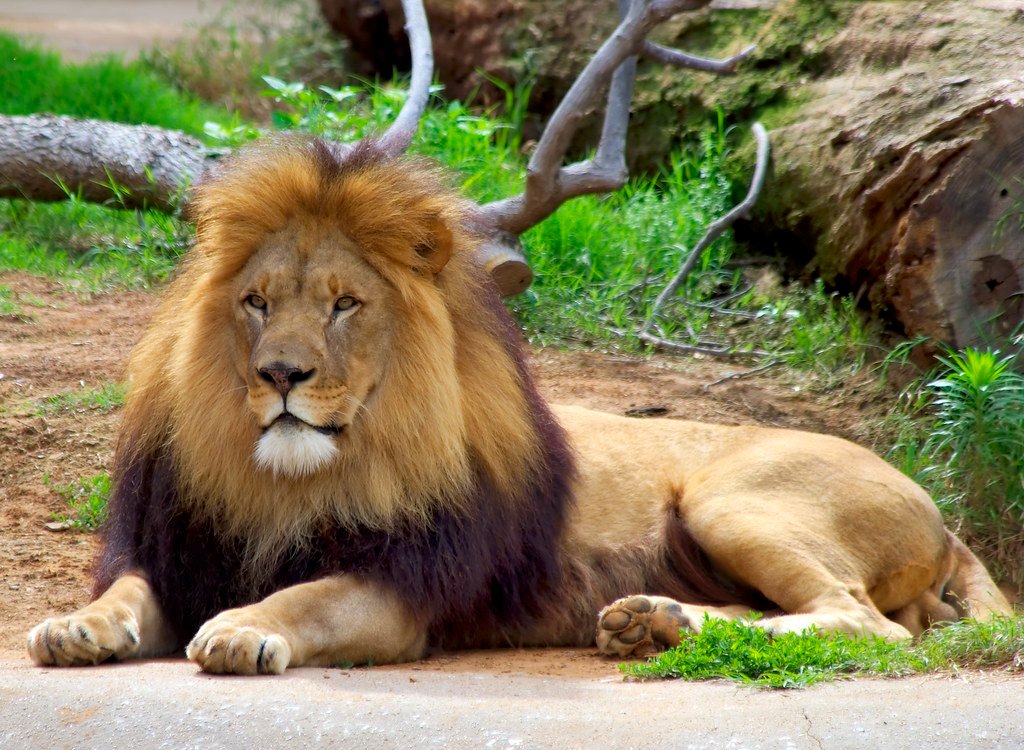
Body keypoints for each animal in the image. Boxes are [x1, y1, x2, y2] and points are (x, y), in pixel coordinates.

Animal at [27, 137, 1011, 674]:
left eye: (345, 304)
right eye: (257, 303)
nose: (279, 376)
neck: (286, 480)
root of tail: (945, 516)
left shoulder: (404, 586)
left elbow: (307, 595)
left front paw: (242, 628)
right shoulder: (180, 543)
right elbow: (127, 588)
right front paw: (77, 626)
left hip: (732, 498)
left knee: (867, 624)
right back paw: (653, 621)